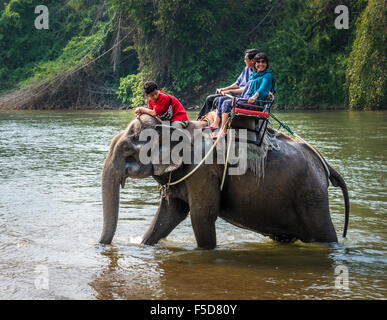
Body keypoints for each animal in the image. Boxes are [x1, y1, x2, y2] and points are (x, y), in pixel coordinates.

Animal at [98, 114, 350, 249]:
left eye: (126, 149)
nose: (101, 246)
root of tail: (323, 163)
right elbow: (169, 214)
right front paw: (144, 244)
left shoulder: (202, 170)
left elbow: (201, 215)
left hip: (311, 196)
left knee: (325, 236)